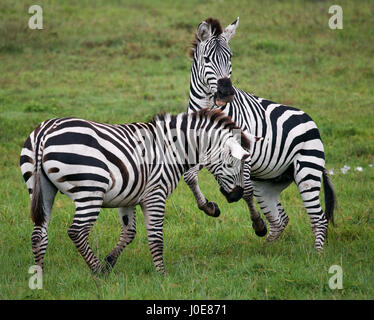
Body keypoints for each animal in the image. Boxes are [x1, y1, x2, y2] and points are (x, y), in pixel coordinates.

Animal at [19, 109, 254, 274]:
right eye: (234, 162)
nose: (236, 196)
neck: (173, 149)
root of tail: (45, 132)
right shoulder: (156, 194)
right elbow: (156, 237)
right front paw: (162, 275)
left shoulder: (128, 196)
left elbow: (129, 233)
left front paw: (110, 261)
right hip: (90, 190)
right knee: (77, 231)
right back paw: (98, 273)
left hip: (41, 189)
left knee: (38, 233)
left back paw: (40, 274)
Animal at [184, 17, 336, 251]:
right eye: (207, 59)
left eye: (230, 57)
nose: (226, 92)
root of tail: (310, 121)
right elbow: (190, 177)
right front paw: (209, 207)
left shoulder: (242, 151)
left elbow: (246, 191)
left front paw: (257, 223)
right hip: (268, 184)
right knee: (280, 219)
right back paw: (267, 249)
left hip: (307, 170)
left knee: (318, 218)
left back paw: (317, 255)